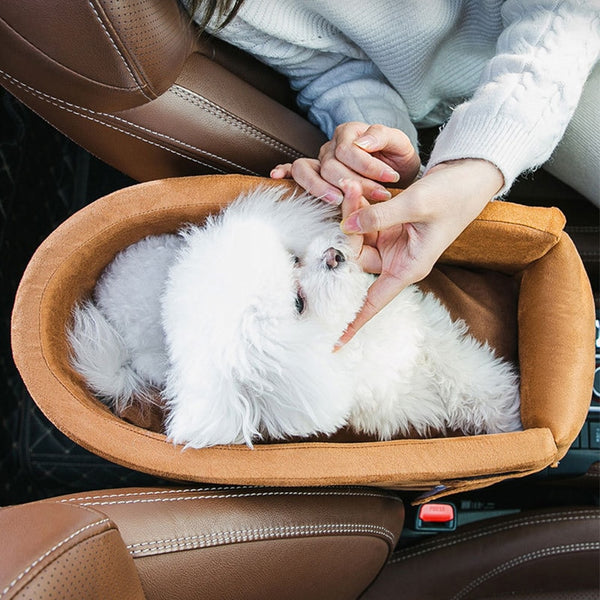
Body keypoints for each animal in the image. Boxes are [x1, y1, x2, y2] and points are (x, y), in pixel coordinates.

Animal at [69, 185, 520, 448]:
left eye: (292, 258)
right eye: (298, 304)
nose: (334, 255)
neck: (352, 337)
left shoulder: (425, 332)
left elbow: (471, 375)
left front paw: (507, 414)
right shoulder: (390, 398)